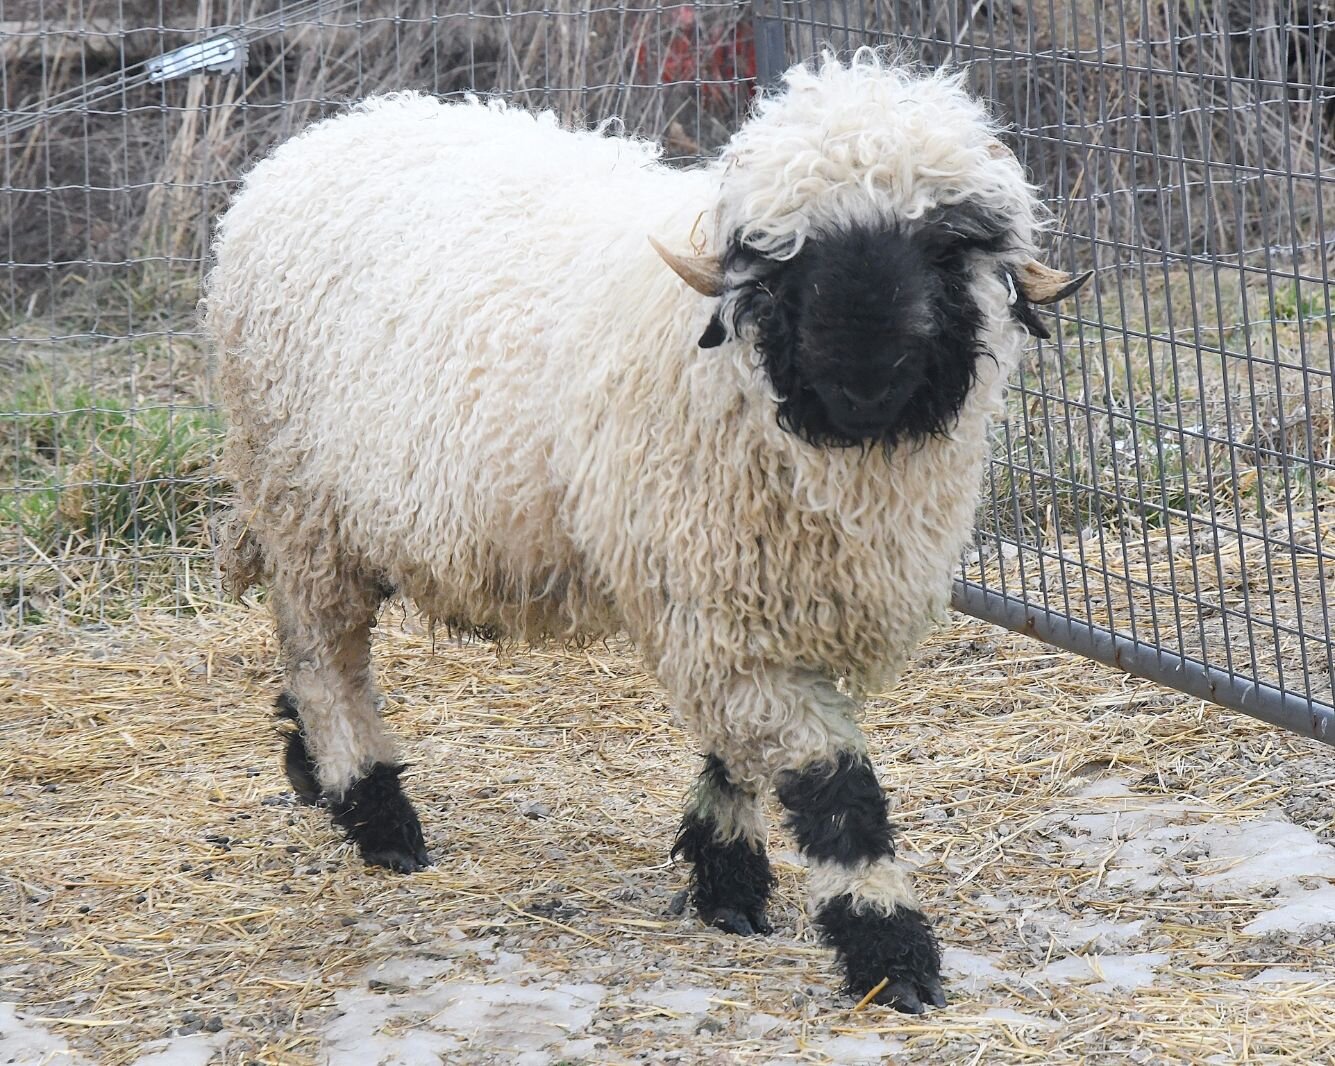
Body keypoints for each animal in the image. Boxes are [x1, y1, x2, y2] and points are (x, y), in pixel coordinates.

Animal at [206, 49, 1088, 1012]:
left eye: (947, 246)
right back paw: (375, 812)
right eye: (784, 256)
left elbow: (737, 752)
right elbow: (831, 782)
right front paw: (886, 947)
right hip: (303, 504)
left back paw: (310, 769)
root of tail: (313, 142)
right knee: (327, 661)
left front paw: (726, 878)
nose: (862, 383)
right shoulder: (713, 592)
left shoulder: (753, 593)